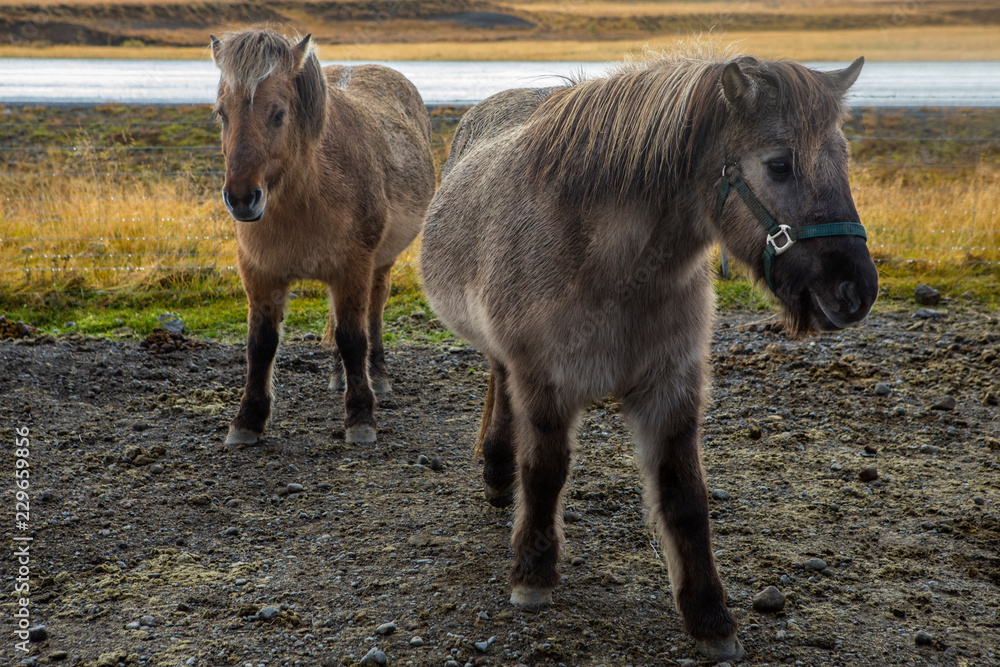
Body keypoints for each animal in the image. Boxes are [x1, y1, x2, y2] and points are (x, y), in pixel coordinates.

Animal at [211, 28, 435, 446]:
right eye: (222, 113)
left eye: (278, 113)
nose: (241, 198)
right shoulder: (259, 273)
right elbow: (260, 344)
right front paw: (247, 419)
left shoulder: (353, 267)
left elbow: (353, 337)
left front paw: (361, 416)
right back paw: (338, 376)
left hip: (379, 264)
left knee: (373, 312)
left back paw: (377, 375)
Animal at [420, 51, 878, 661]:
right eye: (780, 166)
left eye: (843, 159)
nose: (856, 290)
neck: (612, 266)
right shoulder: (545, 381)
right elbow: (545, 470)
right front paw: (533, 575)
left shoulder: (671, 388)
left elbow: (685, 497)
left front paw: (710, 617)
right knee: (499, 381)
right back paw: (497, 470)